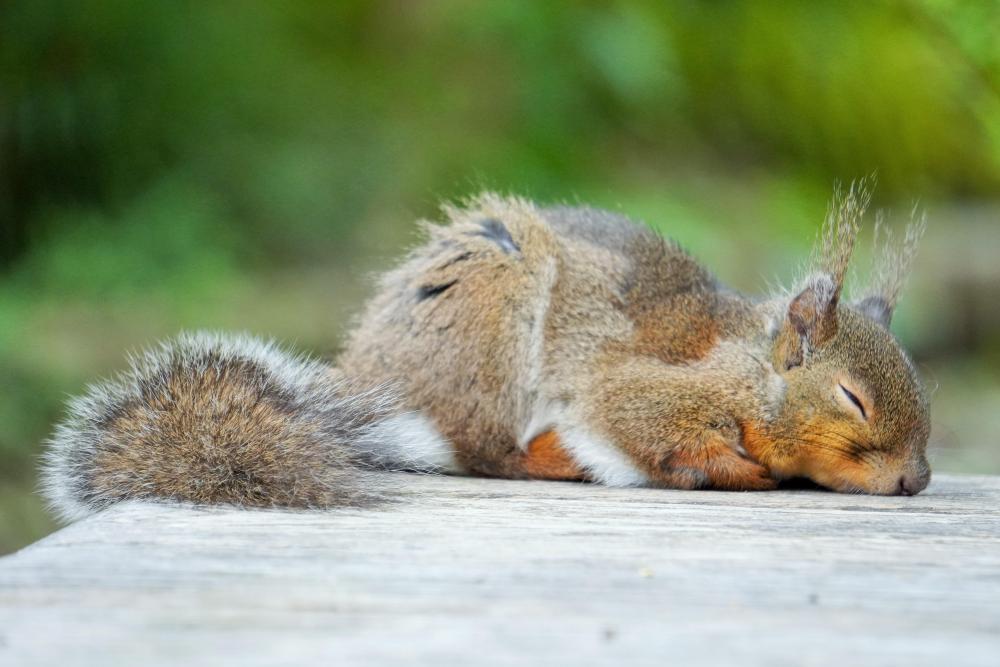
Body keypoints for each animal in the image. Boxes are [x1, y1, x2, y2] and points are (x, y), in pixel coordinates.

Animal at [37, 181, 928, 520]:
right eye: (852, 397)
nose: (916, 478)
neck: (753, 368)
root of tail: (364, 375)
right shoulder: (636, 390)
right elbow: (651, 431)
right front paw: (740, 468)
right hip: (494, 322)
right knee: (486, 450)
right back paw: (556, 458)